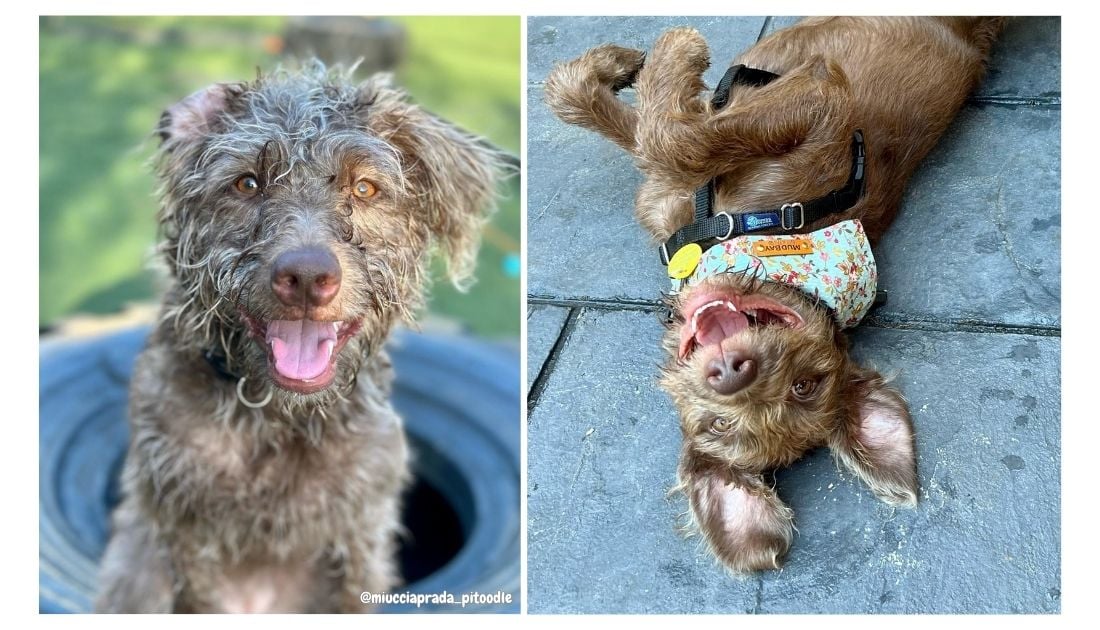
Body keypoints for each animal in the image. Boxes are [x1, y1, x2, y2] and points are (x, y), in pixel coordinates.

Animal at [95, 66, 506, 611]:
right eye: (247, 183)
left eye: (365, 188)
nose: (308, 277)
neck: (276, 420)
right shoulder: (175, 533)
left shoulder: (360, 540)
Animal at [545, 17, 1003, 571]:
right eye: (719, 426)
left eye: (803, 385)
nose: (729, 372)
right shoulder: (666, 191)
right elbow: (631, 128)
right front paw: (622, 64)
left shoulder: (825, 98)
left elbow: (674, 139)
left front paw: (678, 48)